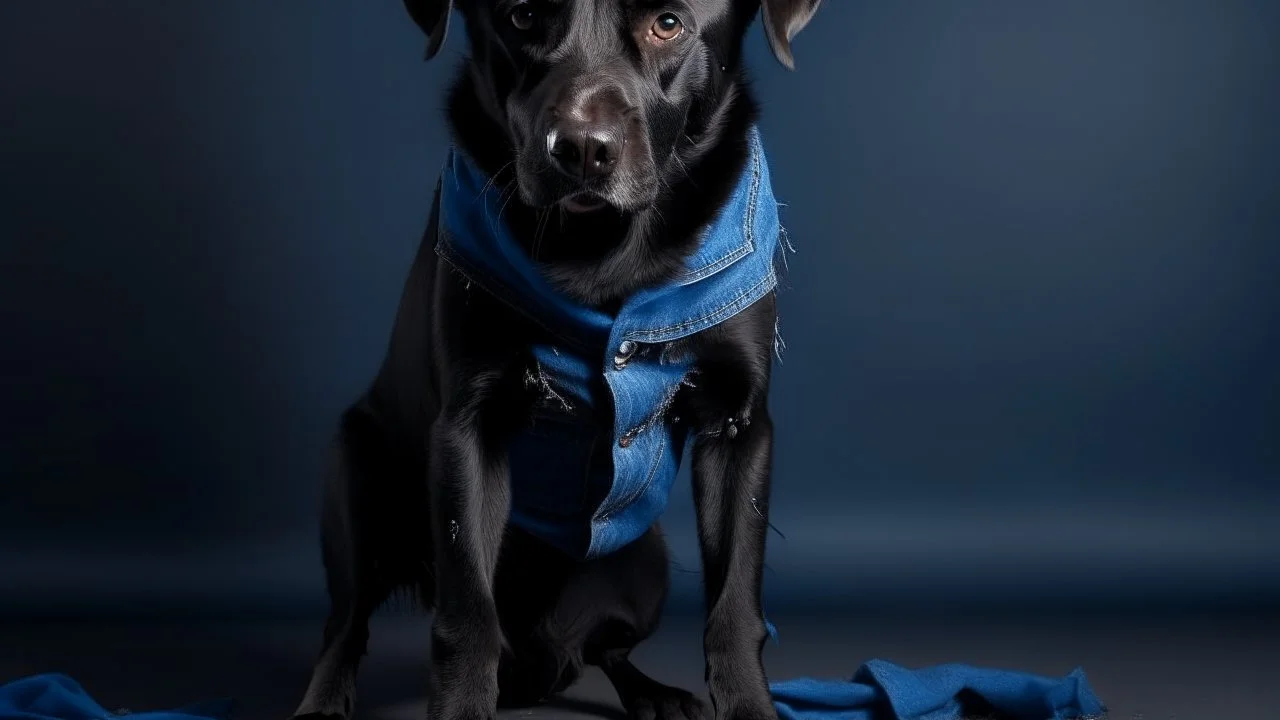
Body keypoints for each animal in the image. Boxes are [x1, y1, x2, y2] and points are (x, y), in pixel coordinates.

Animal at [293, 4, 819, 717]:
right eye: (521, 17)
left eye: (669, 24)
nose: (582, 150)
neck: (604, 251)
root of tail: (535, 665)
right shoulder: (466, 429)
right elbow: (466, 613)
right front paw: (460, 707)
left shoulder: (739, 426)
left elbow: (736, 605)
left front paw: (749, 706)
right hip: (355, 473)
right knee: (345, 625)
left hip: (644, 565)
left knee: (603, 649)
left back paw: (651, 693)